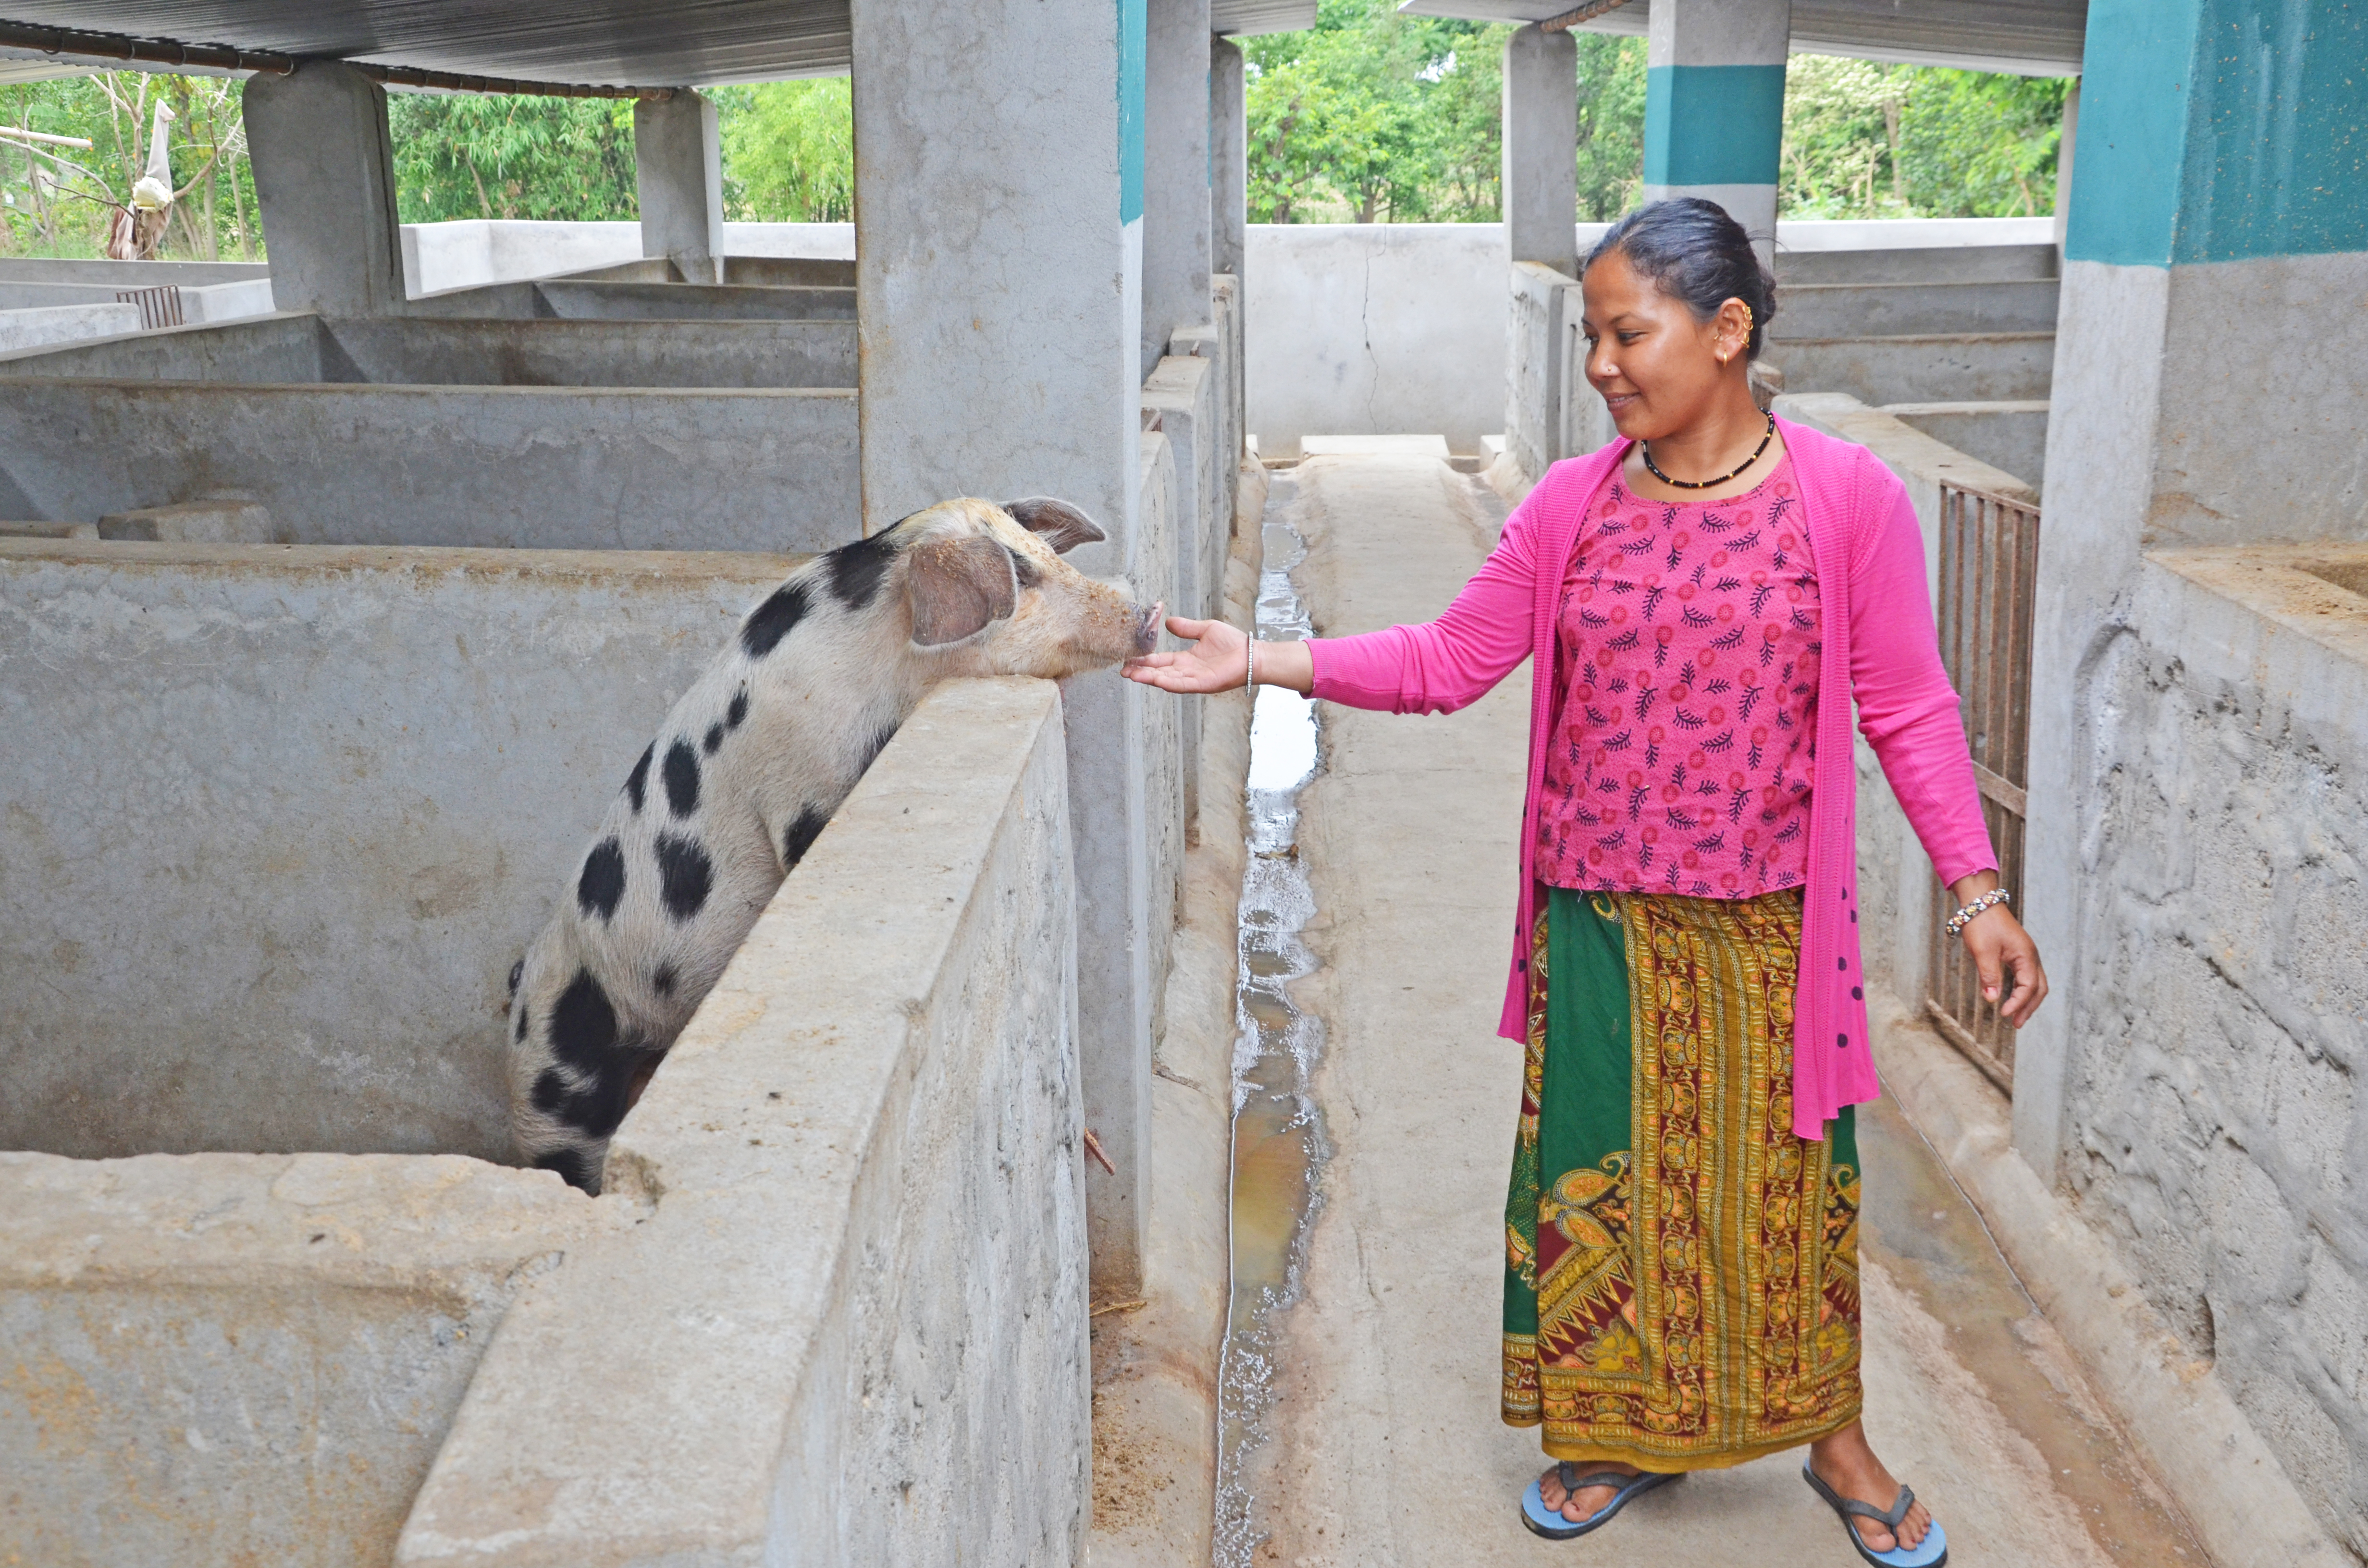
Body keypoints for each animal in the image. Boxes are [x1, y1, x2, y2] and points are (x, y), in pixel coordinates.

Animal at [511, 497, 1165, 1198]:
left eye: (1046, 556)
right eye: (1022, 577)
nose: (1150, 616)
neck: (885, 670)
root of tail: (516, 997)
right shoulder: (802, 792)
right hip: (559, 1100)